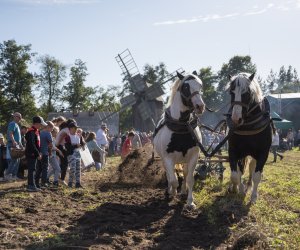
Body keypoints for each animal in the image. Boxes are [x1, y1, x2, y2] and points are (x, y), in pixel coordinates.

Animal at [154, 71, 205, 208]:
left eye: (200, 85)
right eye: (186, 87)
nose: (200, 106)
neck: (182, 127)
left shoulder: (193, 157)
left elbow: (190, 179)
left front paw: (190, 202)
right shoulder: (168, 159)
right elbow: (173, 180)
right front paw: (172, 192)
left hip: (184, 159)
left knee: (186, 174)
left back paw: (182, 191)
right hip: (164, 159)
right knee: (169, 175)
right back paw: (170, 190)